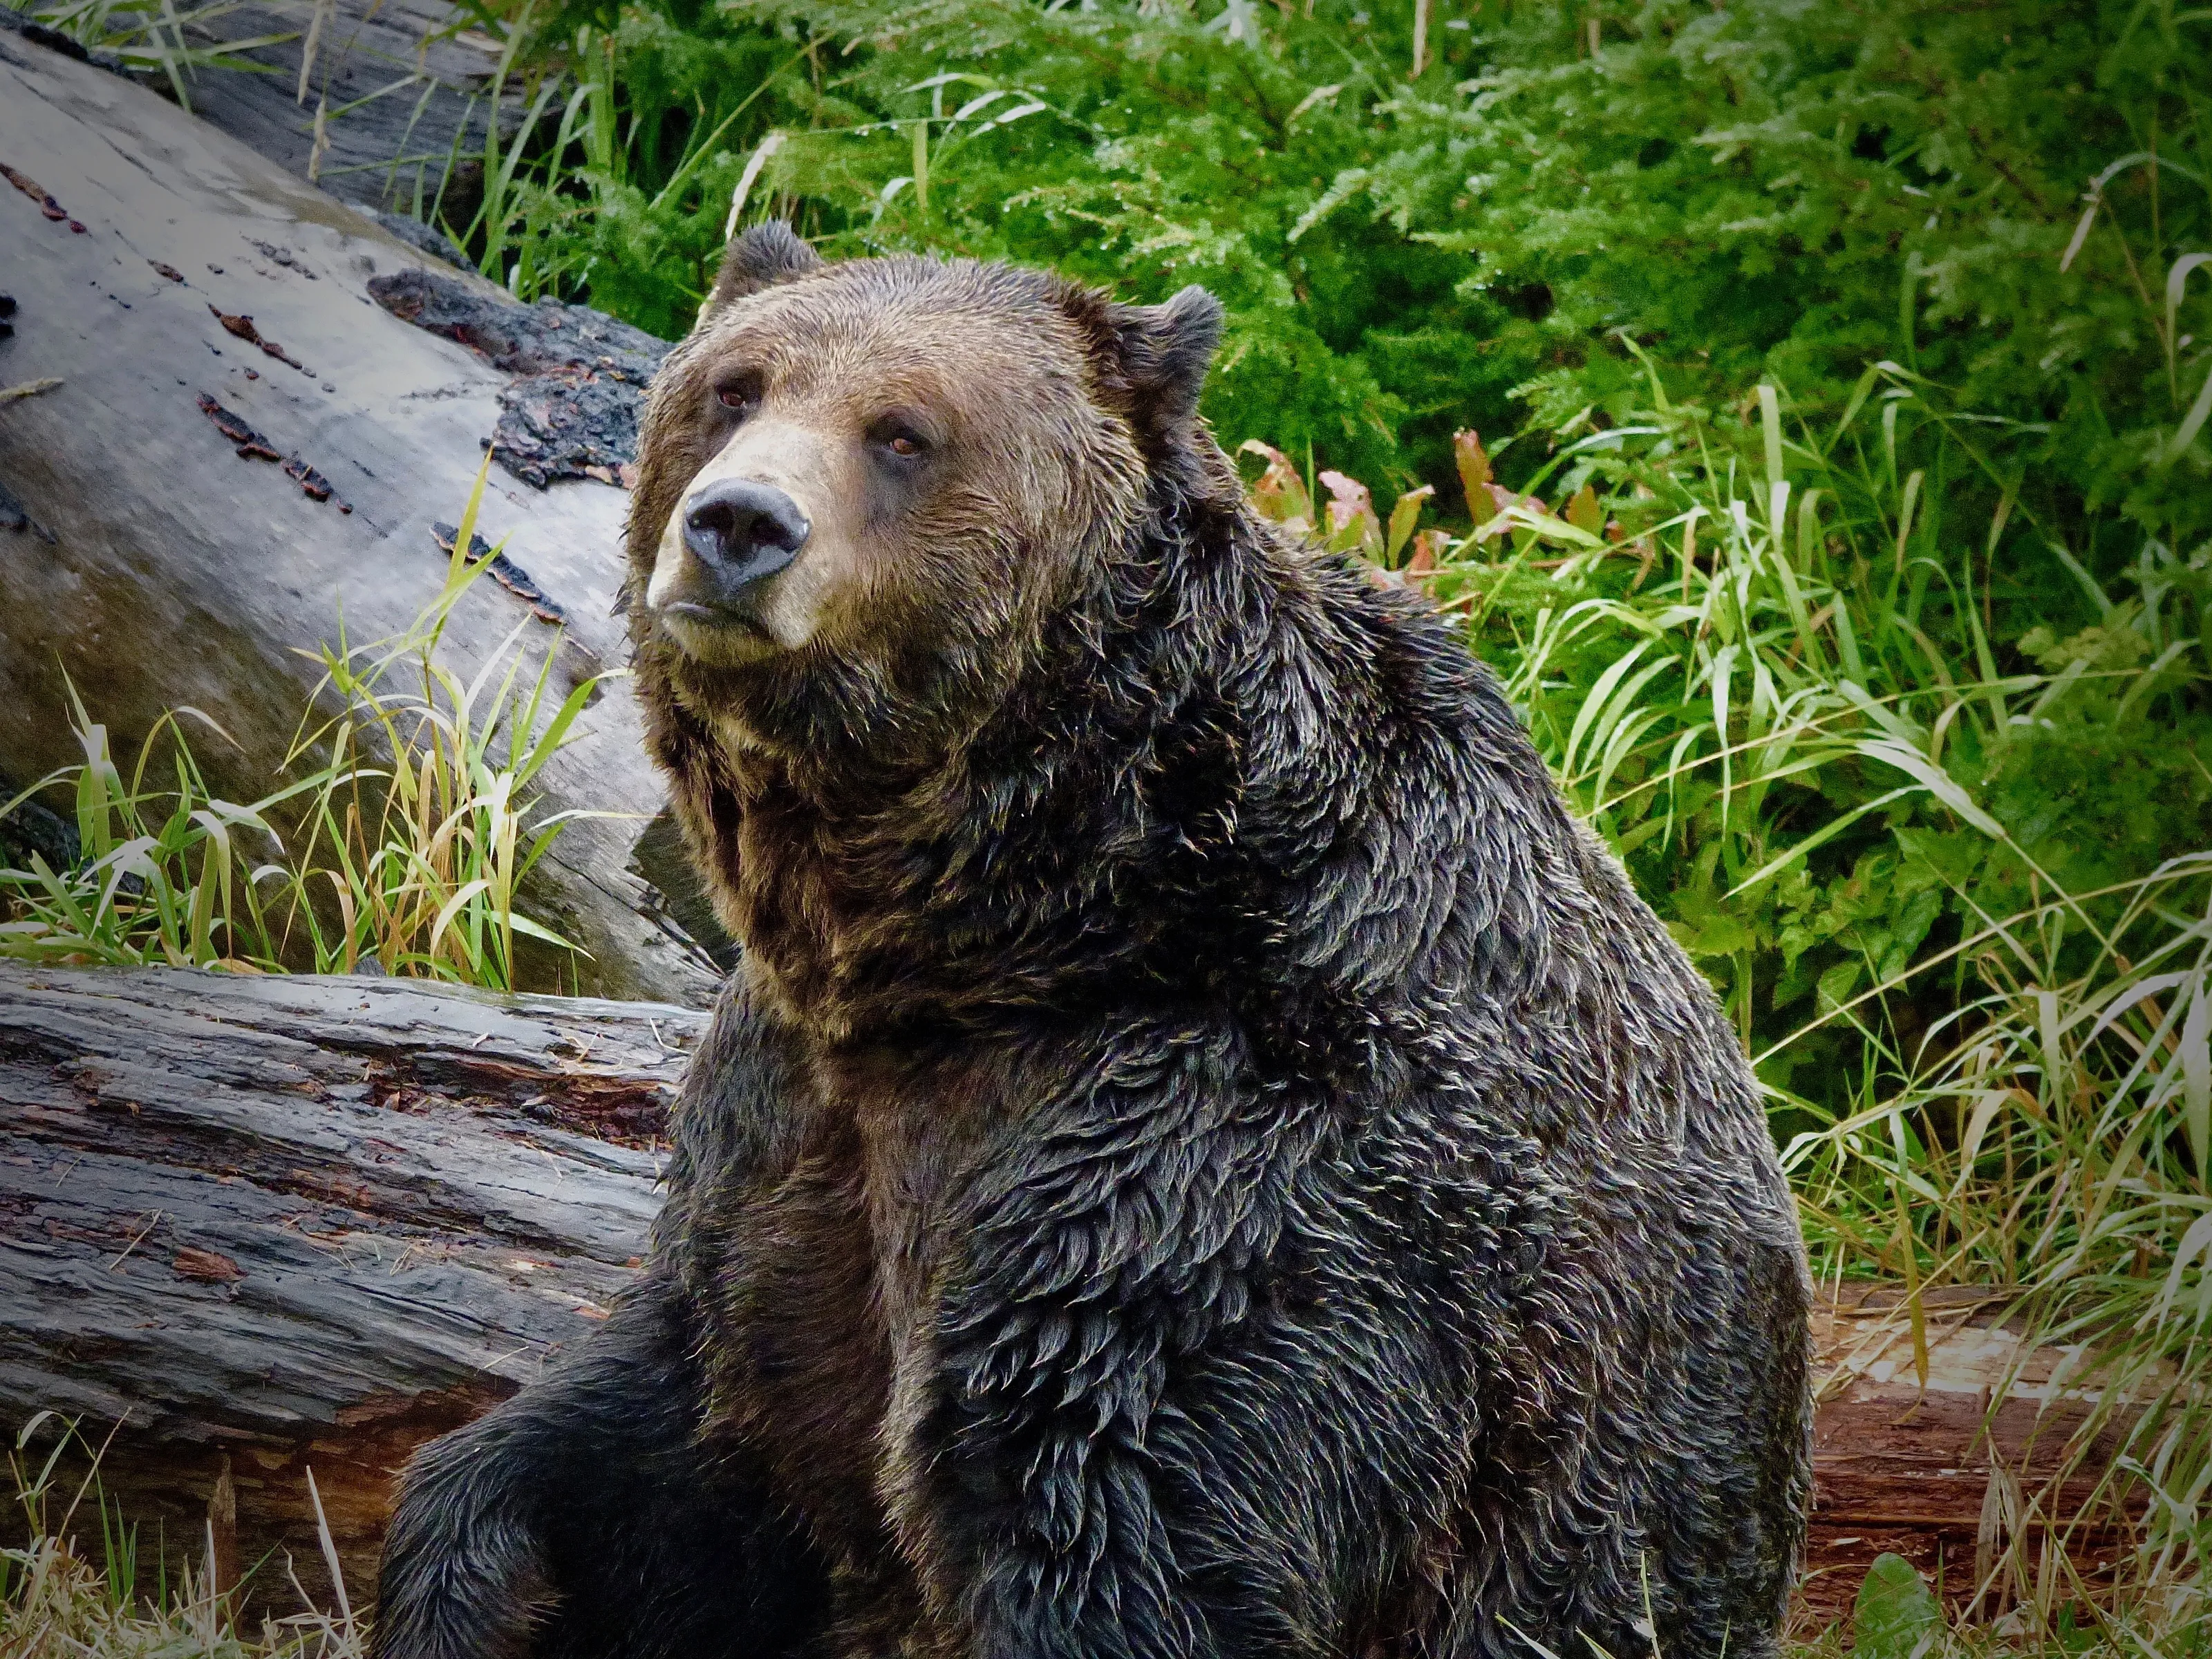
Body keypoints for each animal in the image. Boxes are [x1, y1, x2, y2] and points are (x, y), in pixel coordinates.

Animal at [369, 222, 1814, 1659]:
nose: (737, 526)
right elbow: (677, 1422)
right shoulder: (788, 1121)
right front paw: (474, 1579)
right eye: (735, 386)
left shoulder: (1223, 1166)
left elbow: (1111, 1525)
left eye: (905, 429)